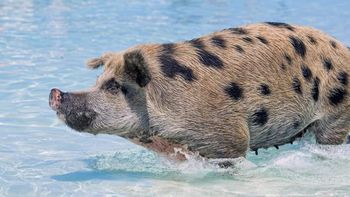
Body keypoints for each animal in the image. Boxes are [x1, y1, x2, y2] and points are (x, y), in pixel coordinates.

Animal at [48, 22, 350, 159]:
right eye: (97, 80)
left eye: (113, 86)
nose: (54, 92)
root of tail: (343, 49)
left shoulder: (229, 138)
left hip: (336, 111)